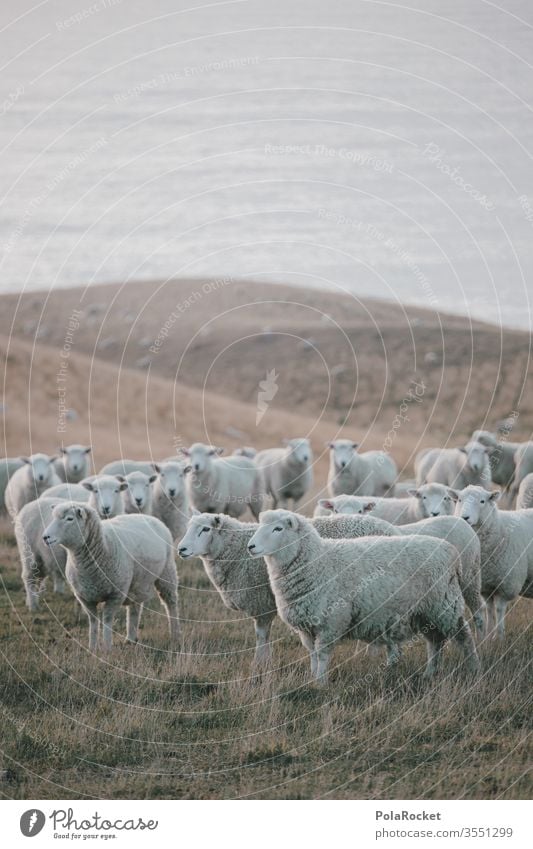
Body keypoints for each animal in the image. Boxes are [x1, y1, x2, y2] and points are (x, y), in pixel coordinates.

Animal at [41, 504, 179, 648]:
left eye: (69, 519)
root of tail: (148, 517)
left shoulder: (115, 594)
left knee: (171, 602)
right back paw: (131, 638)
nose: (45, 537)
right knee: (134, 608)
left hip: (167, 572)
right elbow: (93, 622)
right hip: (136, 582)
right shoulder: (85, 597)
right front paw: (92, 647)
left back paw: (175, 634)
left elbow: (107, 619)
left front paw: (107, 647)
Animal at [246, 510, 478, 684]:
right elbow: (312, 654)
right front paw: (313, 678)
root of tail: (451, 552)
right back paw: (430, 673)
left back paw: (474, 669)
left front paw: (320, 683)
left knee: (464, 638)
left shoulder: (331, 622)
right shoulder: (307, 626)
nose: (250, 547)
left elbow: (322, 654)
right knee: (435, 642)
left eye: (278, 529)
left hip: (445, 605)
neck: (319, 562)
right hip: (426, 612)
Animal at [454, 484, 532, 636]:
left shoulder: (507, 585)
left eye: (482, 501)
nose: (464, 517)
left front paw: (499, 636)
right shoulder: (485, 586)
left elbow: (499, 609)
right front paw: (489, 635)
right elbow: (489, 609)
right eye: (459, 500)